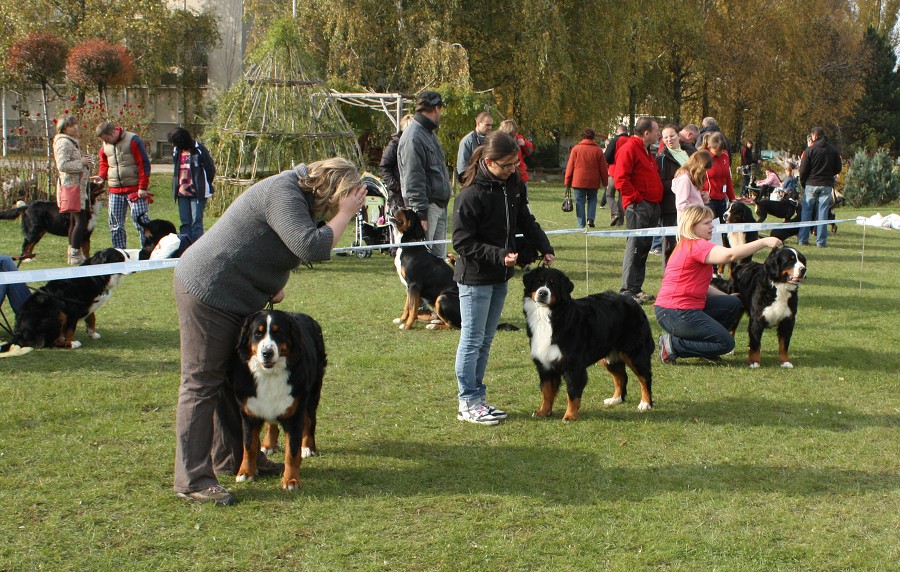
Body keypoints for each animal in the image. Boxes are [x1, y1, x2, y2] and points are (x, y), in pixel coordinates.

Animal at [0, 246, 130, 348]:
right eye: (120, 260)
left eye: (128, 256)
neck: (97, 276)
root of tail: (19, 334)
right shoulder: (72, 309)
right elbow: (70, 329)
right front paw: (71, 340)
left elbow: (92, 318)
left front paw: (92, 333)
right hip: (57, 313)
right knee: (49, 342)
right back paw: (70, 344)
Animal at [229, 308, 326, 492]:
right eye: (257, 333)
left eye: (278, 332)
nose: (267, 353)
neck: (269, 375)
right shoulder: (249, 412)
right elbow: (248, 446)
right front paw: (245, 472)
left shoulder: (295, 414)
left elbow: (292, 452)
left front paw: (291, 480)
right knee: (271, 424)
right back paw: (268, 445)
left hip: (312, 393)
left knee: (310, 420)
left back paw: (308, 447)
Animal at [520, 268, 652, 420]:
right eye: (538, 282)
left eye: (553, 284)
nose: (543, 293)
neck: (547, 316)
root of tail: (633, 301)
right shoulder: (544, 364)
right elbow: (546, 392)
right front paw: (543, 412)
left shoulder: (573, 366)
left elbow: (572, 393)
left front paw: (570, 416)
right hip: (609, 357)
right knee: (621, 376)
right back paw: (615, 399)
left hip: (634, 353)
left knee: (645, 377)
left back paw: (645, 403)